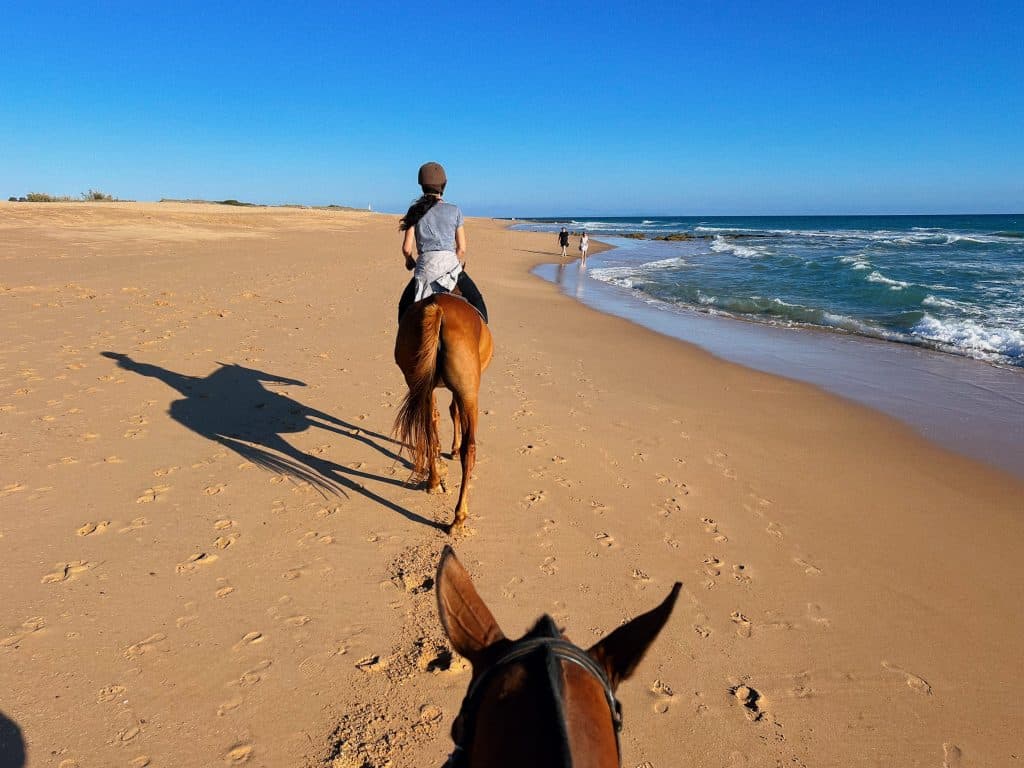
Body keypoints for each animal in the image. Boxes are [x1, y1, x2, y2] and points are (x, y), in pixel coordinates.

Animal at [391, 294, 491, 536]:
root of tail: (439, 309)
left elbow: (437, 418)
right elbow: (453, 411)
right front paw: (453, 450)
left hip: (420, 384)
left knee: (426, 429)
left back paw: (434, 481)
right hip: (468, 393)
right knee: (469, 449)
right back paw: (459, 517)